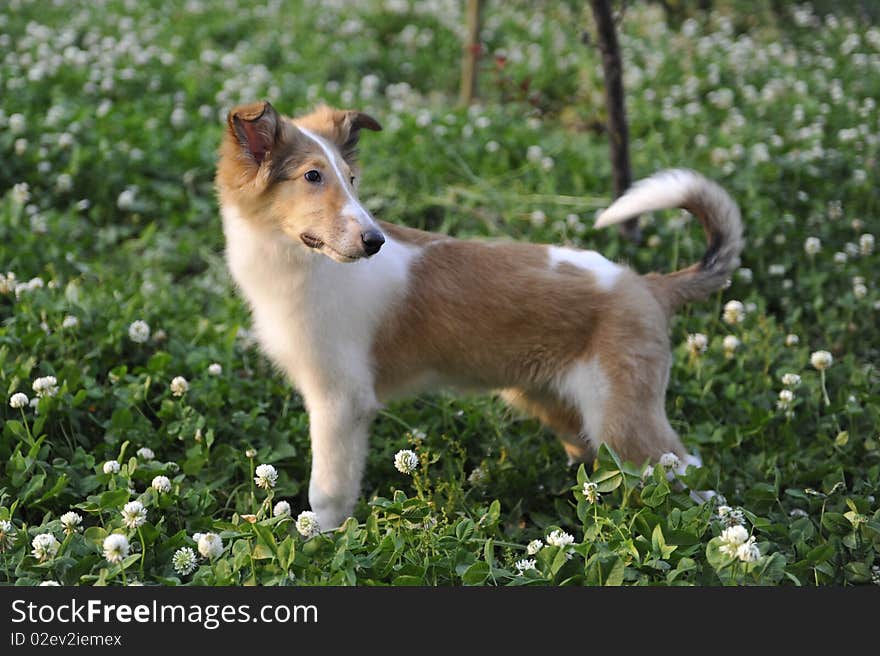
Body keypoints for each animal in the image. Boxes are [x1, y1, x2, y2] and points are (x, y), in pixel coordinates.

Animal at [215, 104, 744, 532]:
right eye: (312, 176)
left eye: (350, 178)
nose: (374, 241)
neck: (304, 265)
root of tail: (648, 285)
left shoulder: (342, 402)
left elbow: (326, 494)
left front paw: (318, 546)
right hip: (566, 409)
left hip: (624, 418)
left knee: (692, 473)